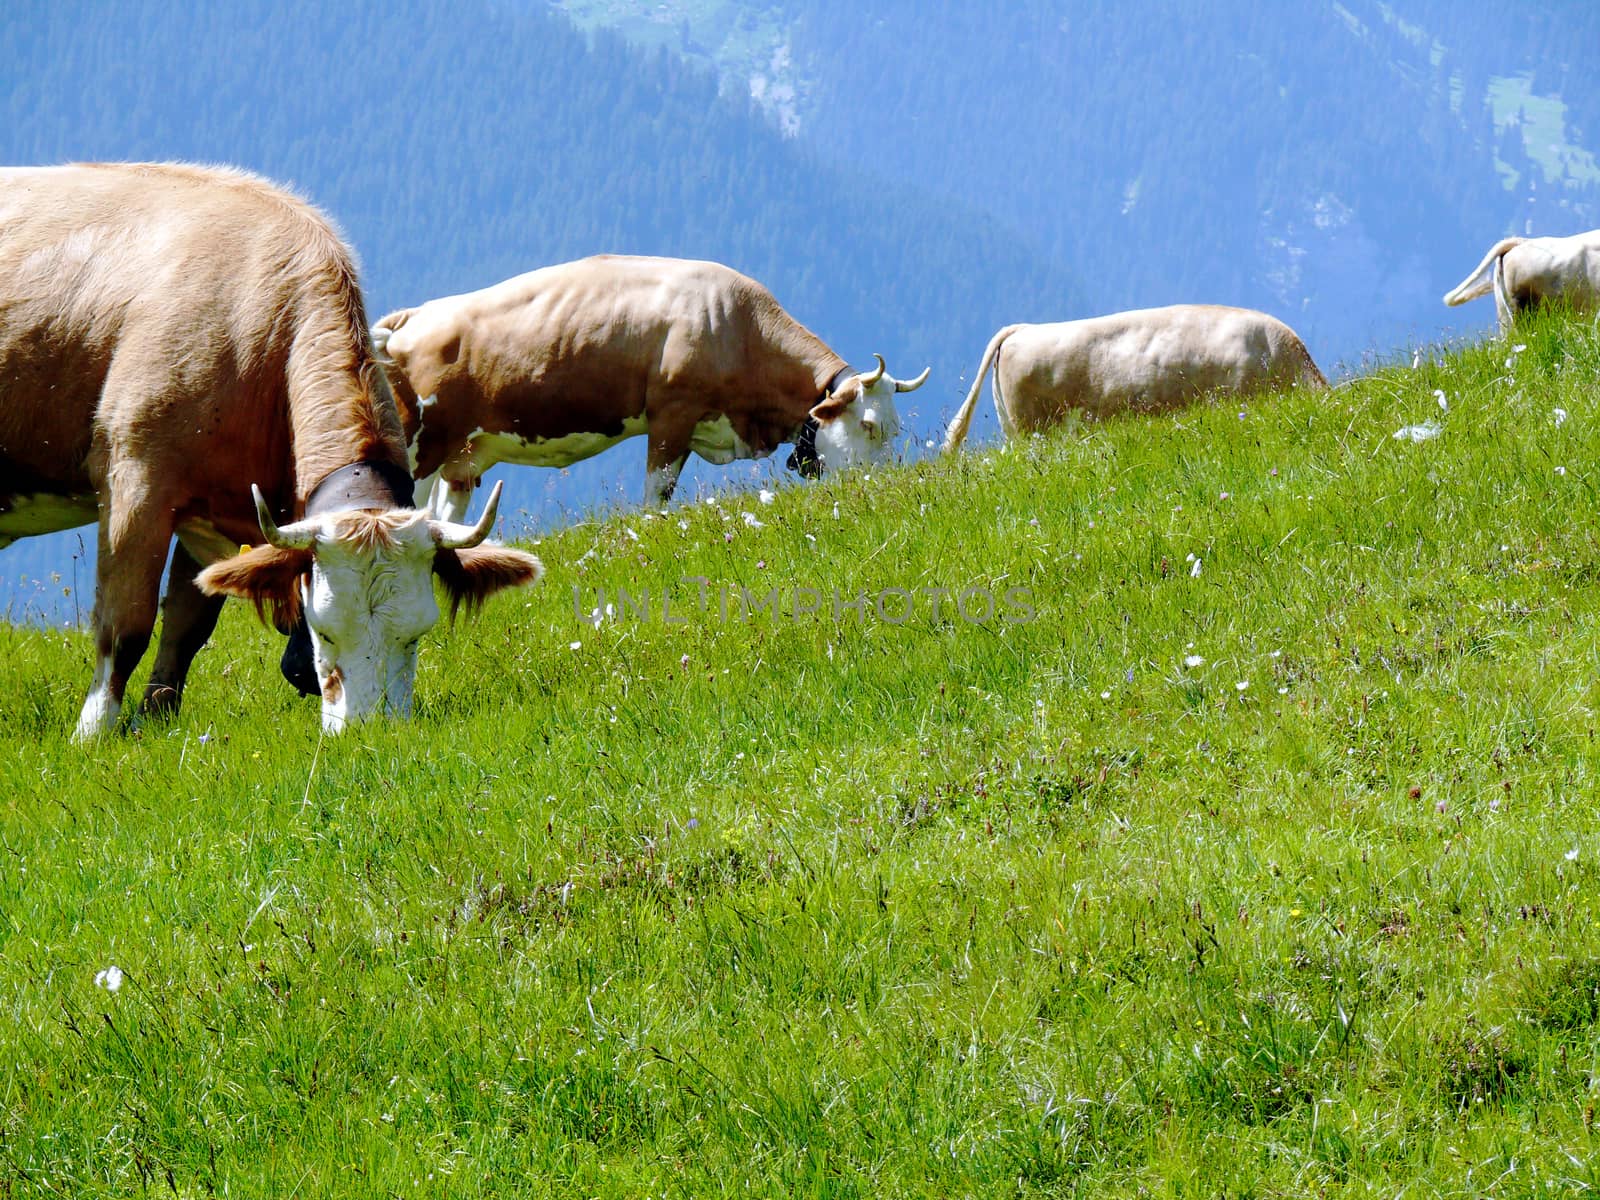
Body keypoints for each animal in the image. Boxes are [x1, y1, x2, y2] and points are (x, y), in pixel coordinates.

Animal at [0, 163, 544, 739]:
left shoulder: (212, 513)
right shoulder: (136, 481)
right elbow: (125, 623)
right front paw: (93, 733)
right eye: (323, 630)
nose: (369, 731)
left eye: (417, 634)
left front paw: (158, 717)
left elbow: (188, 623)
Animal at [368, 256, 934, 515]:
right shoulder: (672, 416)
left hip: (465, 457)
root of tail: (416, 315)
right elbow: (655, 499)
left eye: (897, 428)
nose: (886, 485)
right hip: (422, 446)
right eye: (869, 425)